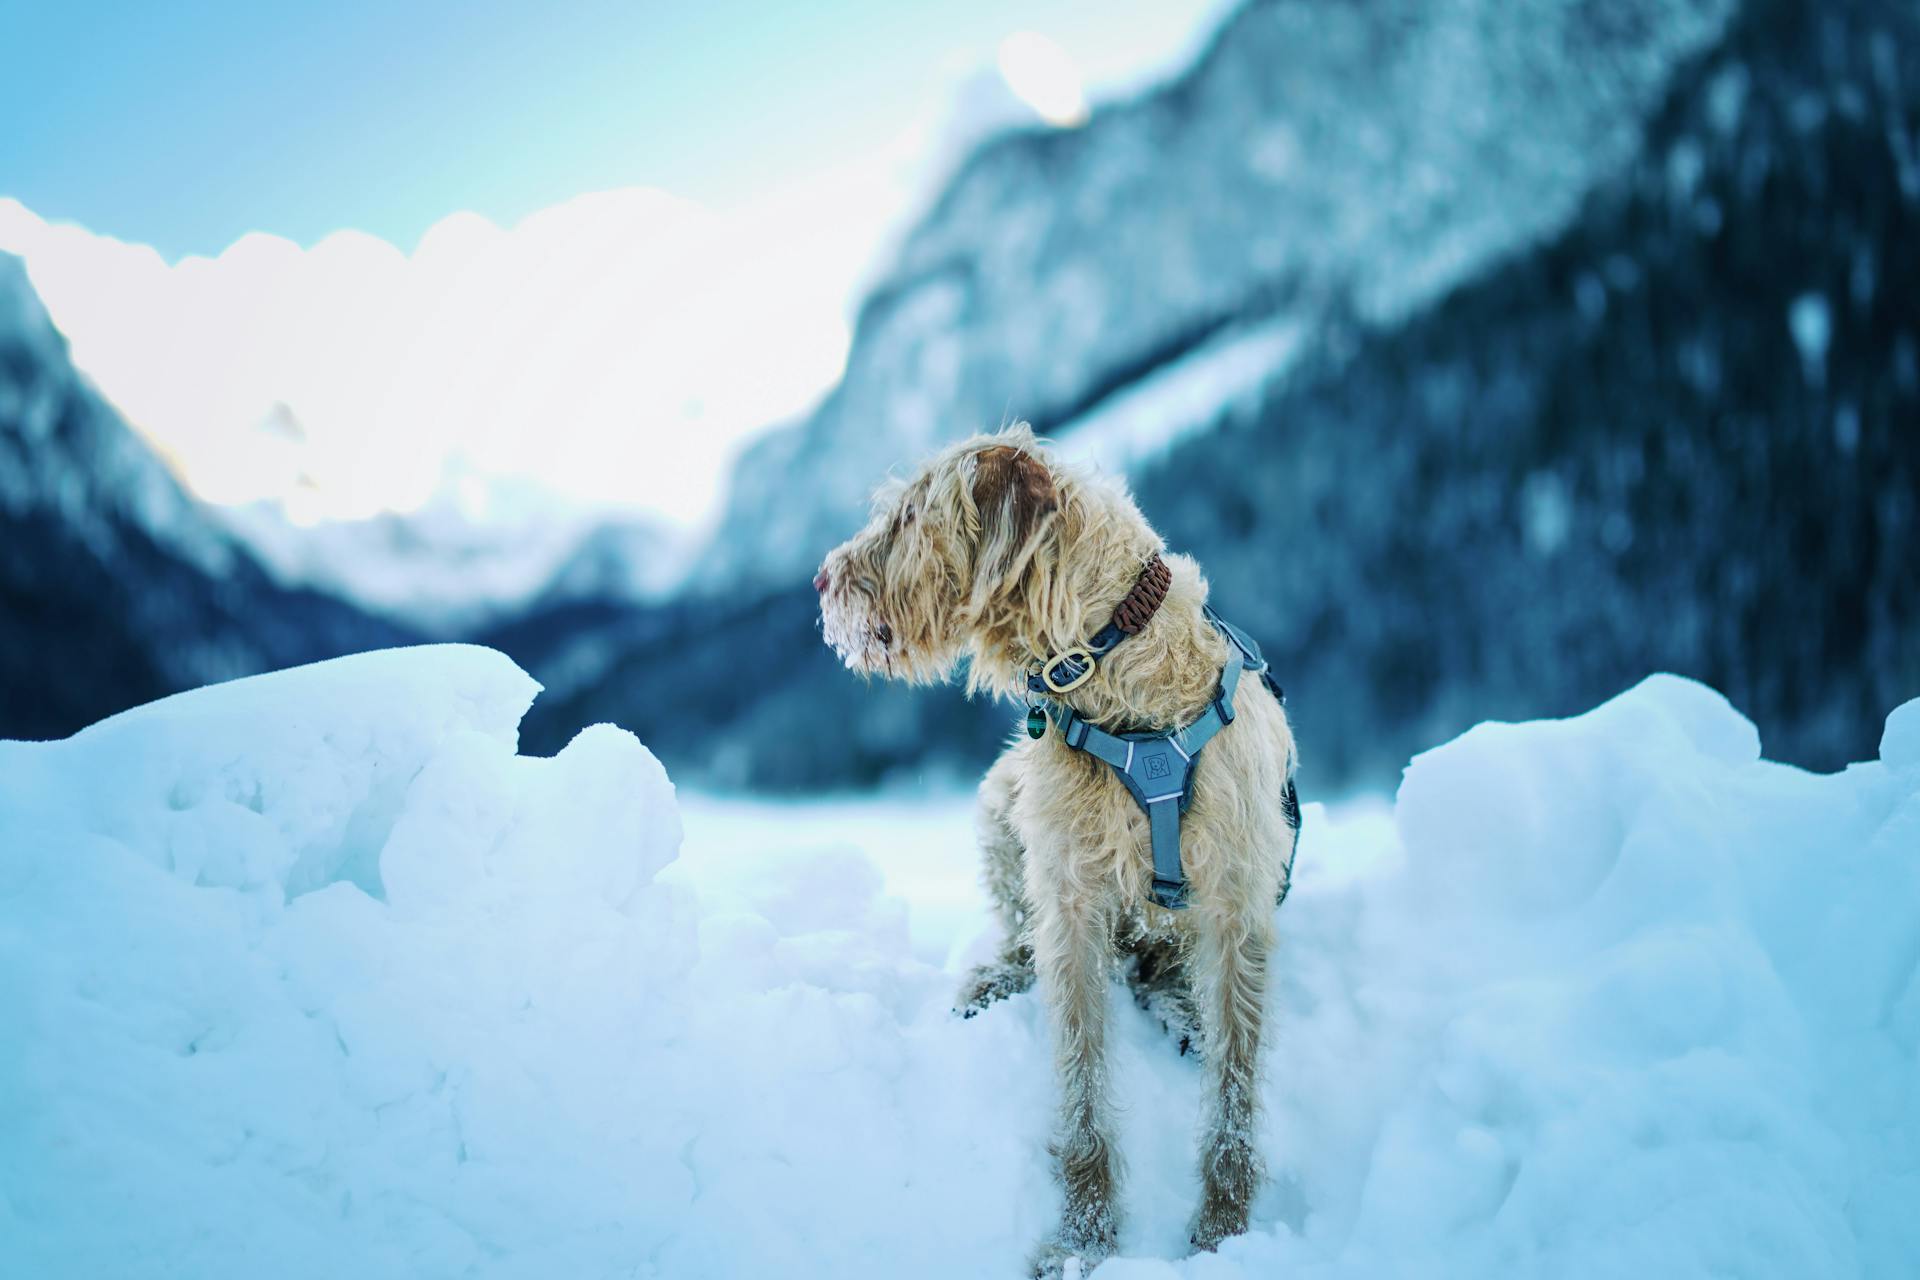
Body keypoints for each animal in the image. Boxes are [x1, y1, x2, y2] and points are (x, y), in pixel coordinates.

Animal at [817, 426, 1297, 1274]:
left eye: (907, 516)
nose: (820, 582)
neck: (1115, 674)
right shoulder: (1069, 900)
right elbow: (1082, 1089)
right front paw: (1086, 1241)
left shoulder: (1237, 903)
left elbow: (1234, 1092)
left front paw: (1223, 1231)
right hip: (997, 804)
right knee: (1029, 938)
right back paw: (999, 978)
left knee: (1164, 974)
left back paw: (1180, 1006)